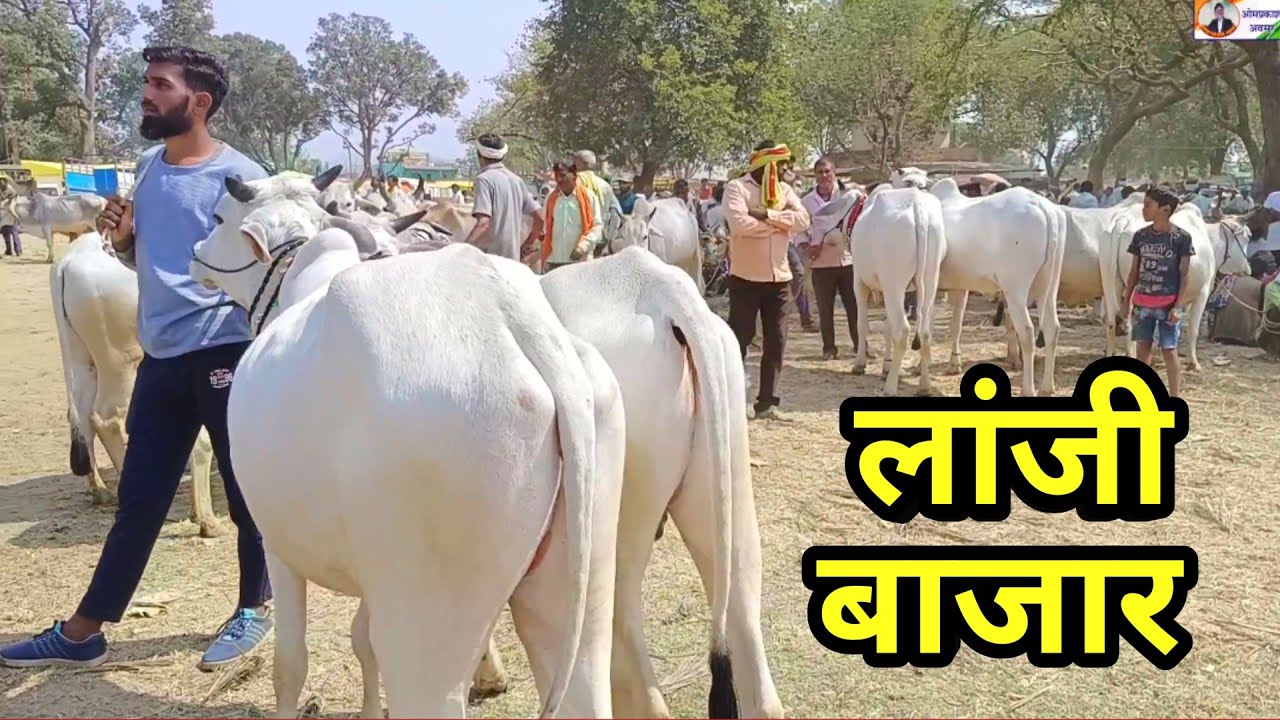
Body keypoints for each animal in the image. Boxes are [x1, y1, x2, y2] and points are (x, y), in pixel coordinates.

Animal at [50, 233, 222, 535]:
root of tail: (68, 262)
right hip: (121, 360)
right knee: (106, 418)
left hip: (81, 356)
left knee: (80, 416)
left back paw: (100, 490)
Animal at [189, 168, 625, 718]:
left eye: (220, 216)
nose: (195, 253)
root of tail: (517, 318)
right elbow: (362, 641)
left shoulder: (279, 545)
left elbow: (290, 665)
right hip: (580, 591)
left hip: (425, 635)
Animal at [814, 185, 947, 395]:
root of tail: (917, 205)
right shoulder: (888, 289)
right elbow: (887, 327)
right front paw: (886, 365)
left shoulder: (859, 282)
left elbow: (861, 324)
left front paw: (860, 364)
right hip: (928, 280)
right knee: (925, 332)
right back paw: (924, 385)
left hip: (894, 283)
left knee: (902, 331)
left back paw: (890, 387)